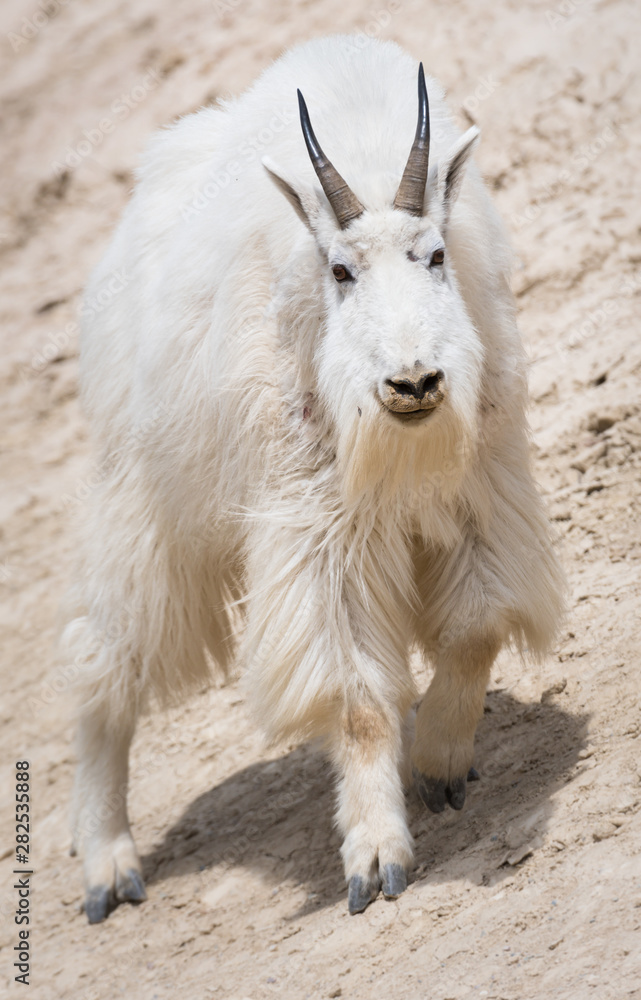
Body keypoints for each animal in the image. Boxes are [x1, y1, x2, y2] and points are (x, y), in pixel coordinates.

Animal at [65, 33, 564, 920]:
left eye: (435, 255)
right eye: (339, 271)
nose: (412, 383)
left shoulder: (480, 489)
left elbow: (474, 627)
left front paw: (439, 763)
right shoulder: (319, 525)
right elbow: (357, 699)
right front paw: (376, 860)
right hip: (145, 506)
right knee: (103, 659)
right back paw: (107, 868)